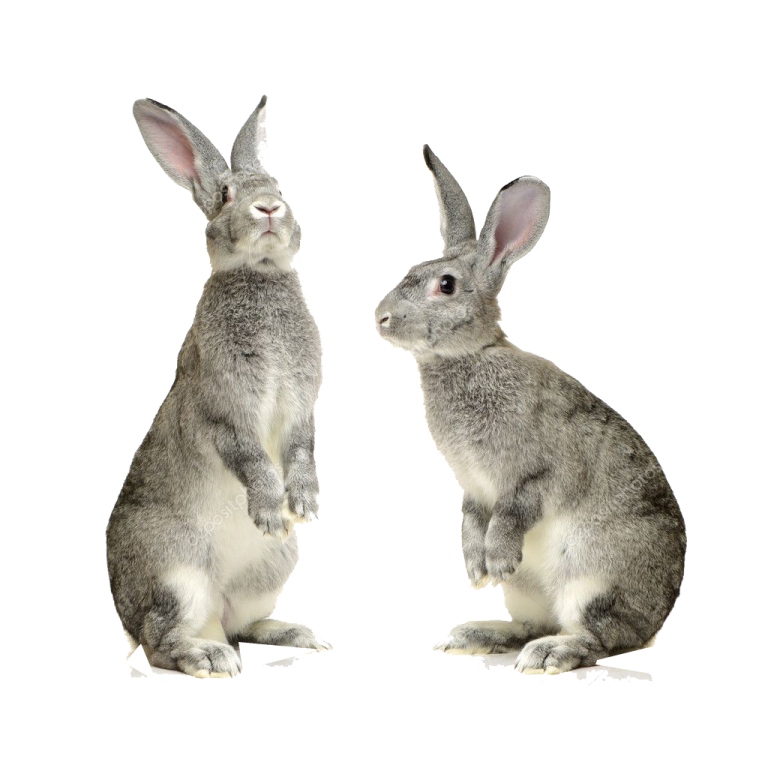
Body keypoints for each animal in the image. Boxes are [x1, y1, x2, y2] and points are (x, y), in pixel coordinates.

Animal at [106, 96, 330, 678]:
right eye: (227, 194)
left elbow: (300, 451)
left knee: (240, 622)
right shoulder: (225, 411)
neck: (259, 273)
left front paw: (303, 505)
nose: (269, 209)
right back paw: (209, 658)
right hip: (176, 576)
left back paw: (293, 633)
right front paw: (271, 510)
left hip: (273, 567)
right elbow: (250, 456)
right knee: (162, 641)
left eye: (275, 183)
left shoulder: (301, 408)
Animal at [373, 146, 685, 674]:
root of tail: (657, 617)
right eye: (412, 270)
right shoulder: (473, 489)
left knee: (601, 636)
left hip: (593, 577)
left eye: (446, 286)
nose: (382, 318)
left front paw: (496, 560)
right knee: (535, 623)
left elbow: (515, 510)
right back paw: (477, 635)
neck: (470, 355)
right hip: (528, 593)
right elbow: (472, 520)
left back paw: (550, 653)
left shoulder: (536, 473)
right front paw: (477, 570)